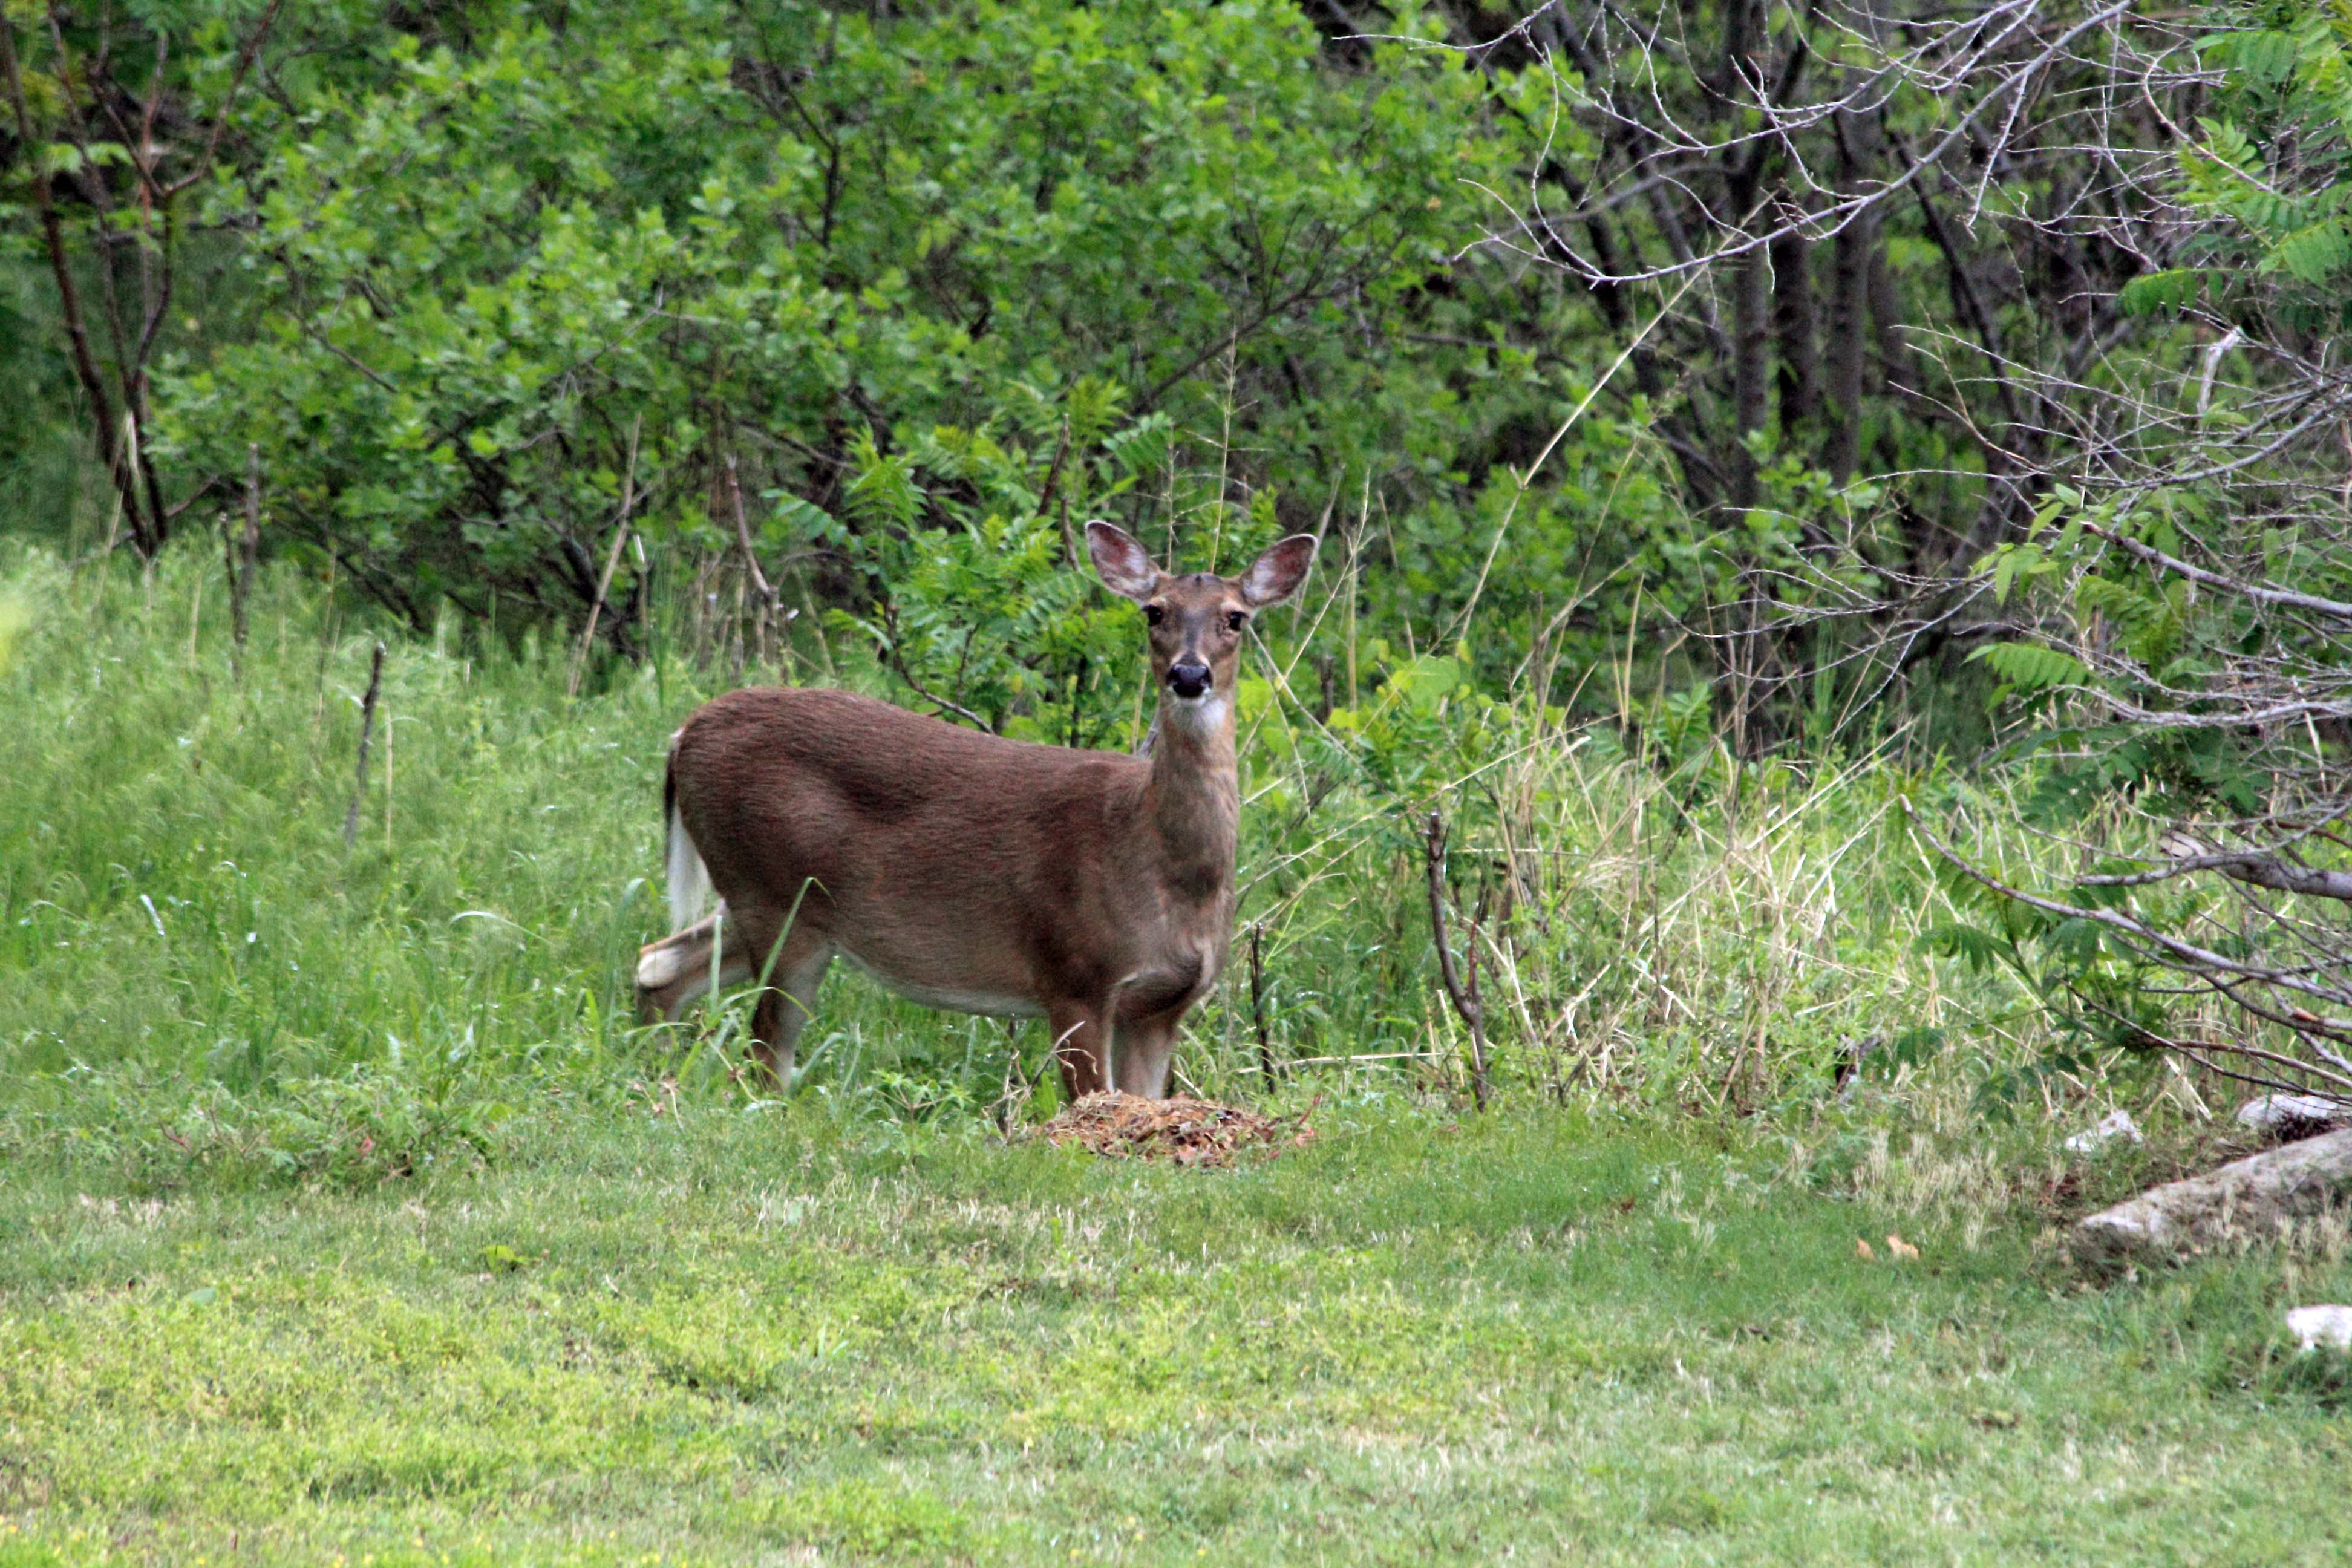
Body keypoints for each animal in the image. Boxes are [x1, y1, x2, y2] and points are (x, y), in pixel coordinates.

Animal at [635, 521, 1317, 1100]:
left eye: (1236, 618)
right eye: (1155, 610)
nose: (1189, 674)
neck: (1158, 860)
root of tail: (682, 736)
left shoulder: (1162, 1006)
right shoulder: (1073, 971)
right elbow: (1094, 1104)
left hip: (765, 898)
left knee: (660, 964)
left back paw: (650, 1075)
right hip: (777, 895)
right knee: (764, 1049)